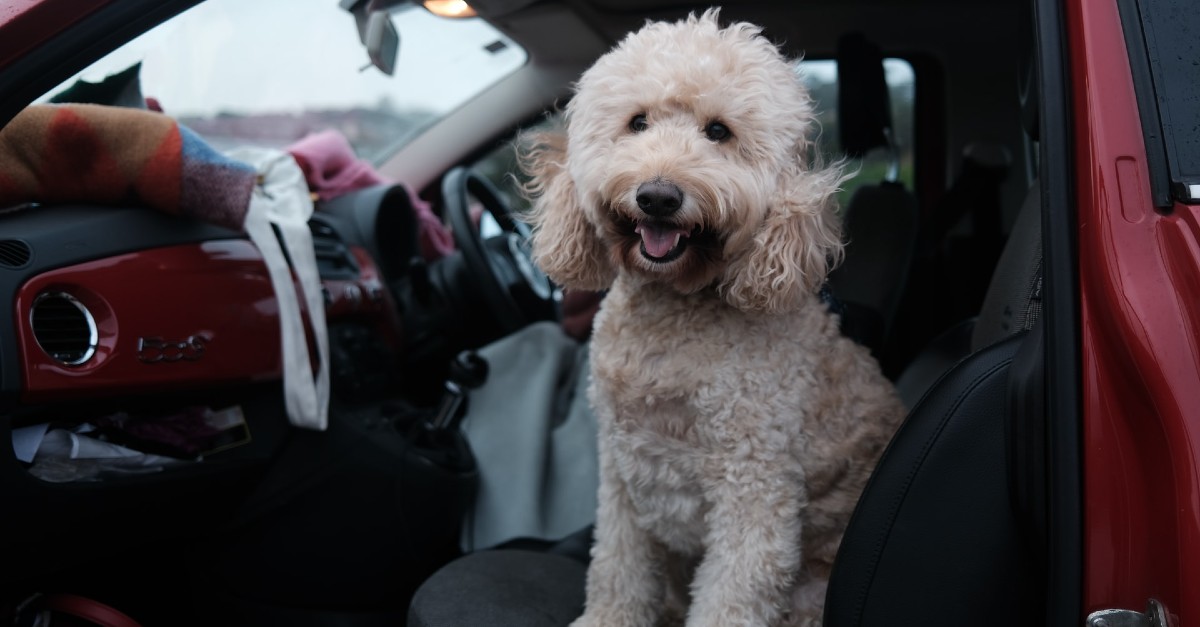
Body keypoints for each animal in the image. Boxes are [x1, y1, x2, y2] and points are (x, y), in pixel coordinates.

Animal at [520, 10, 902, 624]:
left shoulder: (755, 483)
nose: (657, 196)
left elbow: (733, 591)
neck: (672, 312)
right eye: (637, 122)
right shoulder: (622, 474)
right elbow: (616, 567)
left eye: (718, 132)